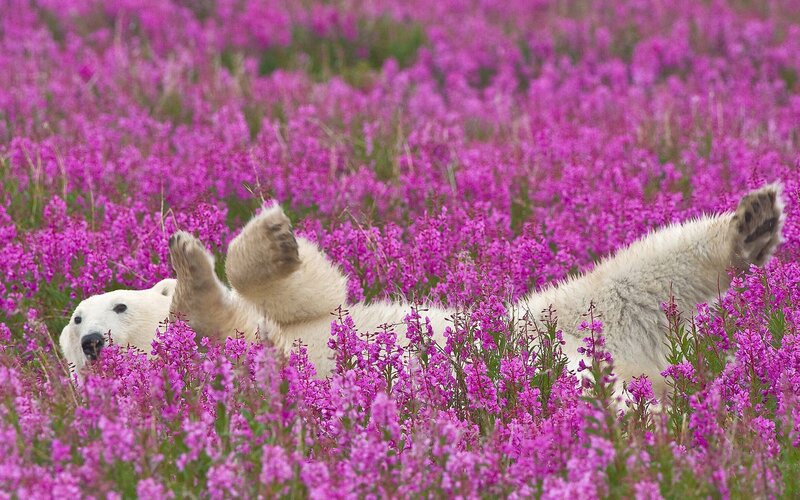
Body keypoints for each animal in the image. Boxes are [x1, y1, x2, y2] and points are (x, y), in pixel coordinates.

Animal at [61, 184, 785, 397]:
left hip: (557, 317)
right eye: (74, 323)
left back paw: (752, 222)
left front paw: (260, 239)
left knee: (642, 271)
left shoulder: (301, 317)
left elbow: (316, 293)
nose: (92, 340)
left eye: (113, 304)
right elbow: (233, 332)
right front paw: (192, 275)